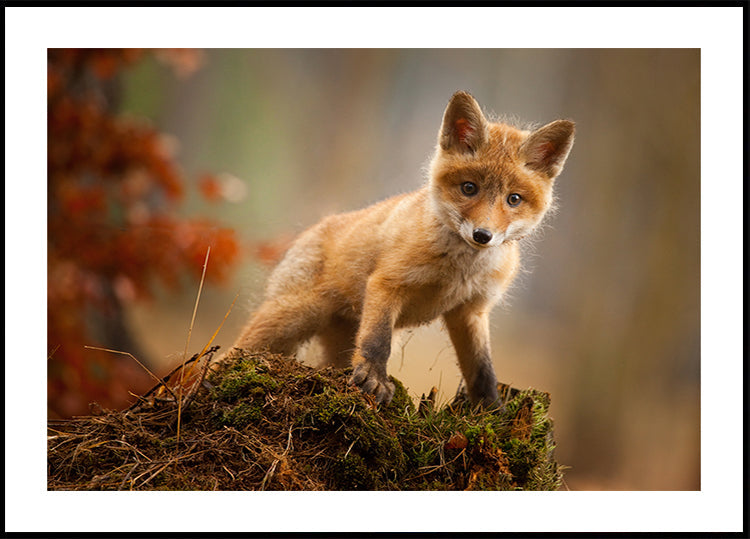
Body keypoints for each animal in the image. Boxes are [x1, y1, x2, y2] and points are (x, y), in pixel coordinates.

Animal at [231, 91, 574, 407]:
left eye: (513, 199)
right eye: (469, 188)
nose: (482, 235)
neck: (459, 271)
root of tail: (315, 228)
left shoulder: (470, 311)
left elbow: (482, 369)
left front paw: (490, 410)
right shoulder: (387, 284)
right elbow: (377, 341)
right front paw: (374, 380)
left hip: (337, 340)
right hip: (291, 317)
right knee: (236, 350)